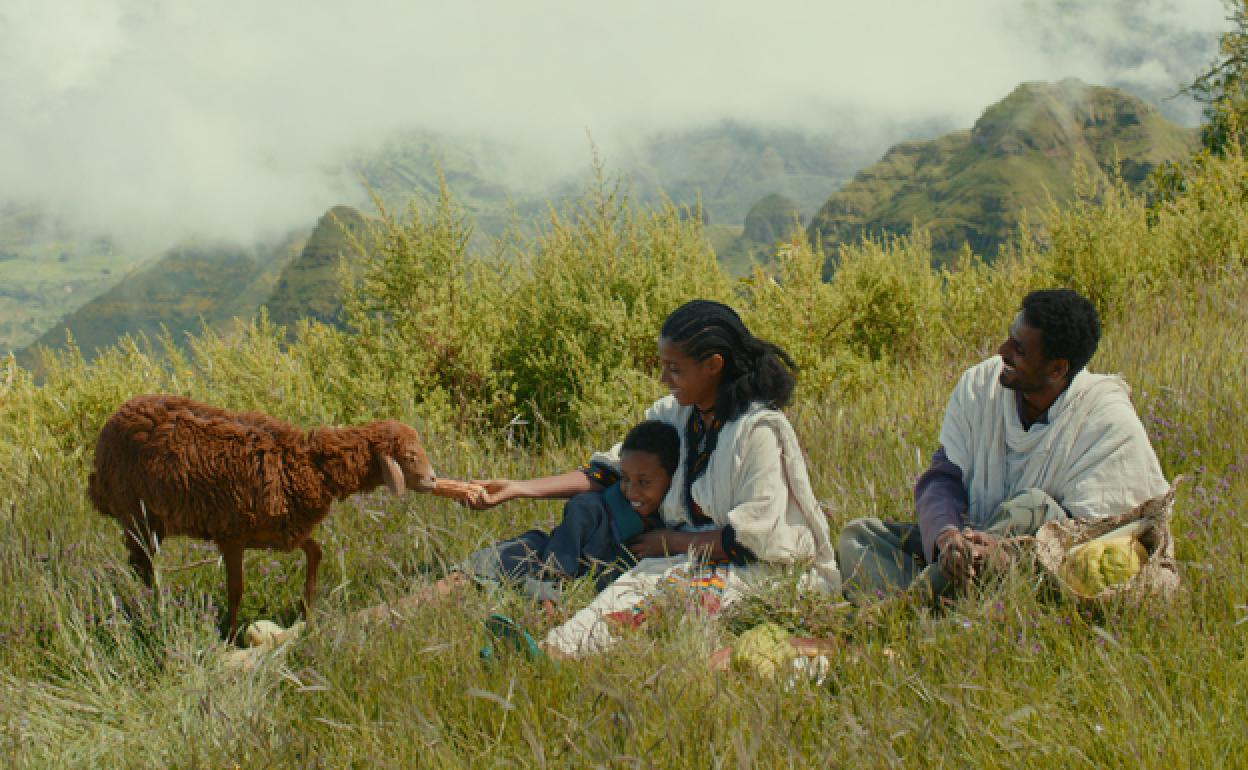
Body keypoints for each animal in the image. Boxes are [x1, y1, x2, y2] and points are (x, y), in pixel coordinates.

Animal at [87, 394, 439, 633]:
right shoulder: (231, 536)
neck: (306, 465)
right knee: (143, 567)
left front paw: (306, 610)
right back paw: (155, 611)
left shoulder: (278, 534)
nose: (434, 479)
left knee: (143, 566)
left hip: (151, 522)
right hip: (135, 516)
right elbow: (236, 590)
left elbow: (315, 551)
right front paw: (229, 636)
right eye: (410, 455)